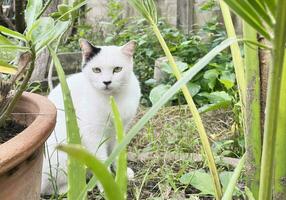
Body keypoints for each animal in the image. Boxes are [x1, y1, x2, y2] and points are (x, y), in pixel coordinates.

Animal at [40, 39, 141, 195]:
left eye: (117, 69)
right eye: (97, 70)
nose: (107, 82)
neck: (112, 100)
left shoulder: (121, 128)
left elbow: (118, 152)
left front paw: (122, 172)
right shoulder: (93, 134)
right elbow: (102, 159)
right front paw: (107, 184)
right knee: (49, 188)